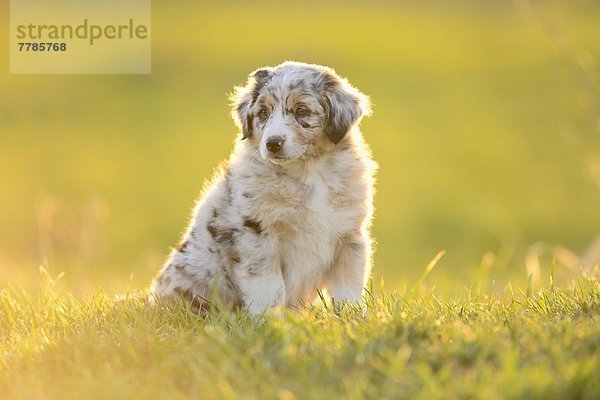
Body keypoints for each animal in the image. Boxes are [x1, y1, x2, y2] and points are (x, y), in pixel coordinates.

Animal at [150, 61, 376, 314]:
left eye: (302, 111)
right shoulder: (258, 235)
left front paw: (352, 316)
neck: (308, 172)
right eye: (263, 113)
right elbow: (269, 287)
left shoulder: (350, 236)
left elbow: (348, 286)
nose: (273, 143)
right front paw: (270, 320)